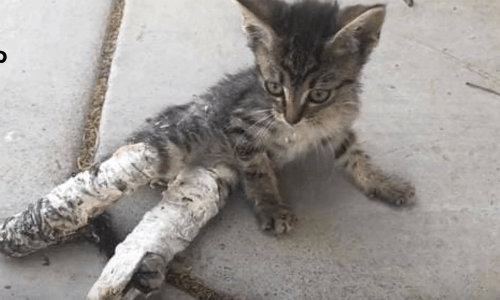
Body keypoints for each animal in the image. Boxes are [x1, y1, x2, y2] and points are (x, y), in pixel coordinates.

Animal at [119, 0, 416, 236]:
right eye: (274, 87)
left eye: (319, 94)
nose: (291, 119)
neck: (308, 125)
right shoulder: (241, 124)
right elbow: (257, 169)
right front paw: (271, 206)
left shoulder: (339, 127)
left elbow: (356, 155)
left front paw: (383, 182)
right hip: (177, 141)